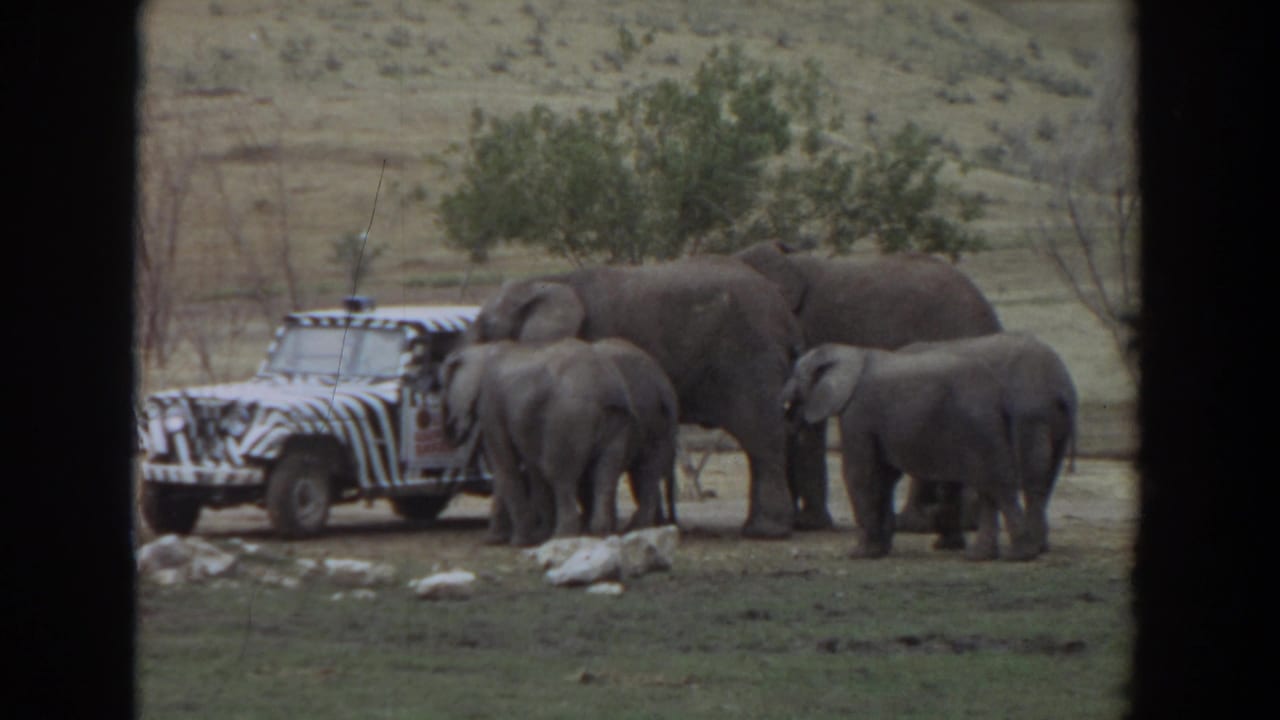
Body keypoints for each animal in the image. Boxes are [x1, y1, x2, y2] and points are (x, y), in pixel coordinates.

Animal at [439, 337, 678, 547]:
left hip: (568, 416)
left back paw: (564, 536)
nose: (450, 433)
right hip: (621, 420)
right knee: (619, 471)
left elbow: (505, 466)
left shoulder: (491, 404)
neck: (487, 347)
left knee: (559, 473)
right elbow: (529, 469)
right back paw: (608, 531)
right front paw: (528, 536)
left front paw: (515, 542)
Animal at [468, 255, 804, 539]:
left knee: (760, 435)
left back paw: (766, 531)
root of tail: (784, 312)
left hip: (749, 356)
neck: (546, 282)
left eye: (485, 329)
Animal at [781, 343, 1040, 561]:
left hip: (980, 426)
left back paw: (1018, 555)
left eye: (796, 376)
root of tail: (1001, 394)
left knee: (998, 487)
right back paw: (981, 556)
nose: (789, 413)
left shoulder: (858, 413)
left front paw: (860, 554)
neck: (851, 353)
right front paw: (880, 550)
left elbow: (861, 475)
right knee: (989, 488)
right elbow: (884, 477)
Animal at [897, 331, 1078, 552]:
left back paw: (1033, 545)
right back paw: (1040, 545)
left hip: (1031, 412)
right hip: (1056, 419)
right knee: (1049, 472)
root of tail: (1061, 385)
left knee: (1035, 471)